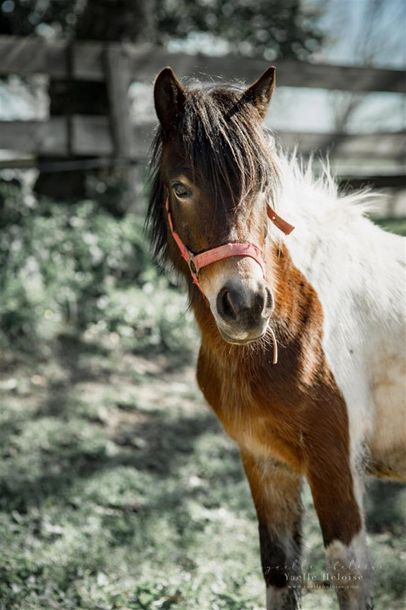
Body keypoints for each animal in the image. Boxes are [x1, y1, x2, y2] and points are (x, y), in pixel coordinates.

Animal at [148, 66, 406, 608]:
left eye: (264, 186)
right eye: (180, 188)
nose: (246, 305)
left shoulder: (335, 468)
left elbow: (349, 576)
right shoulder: (266, 463)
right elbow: (280, 569)